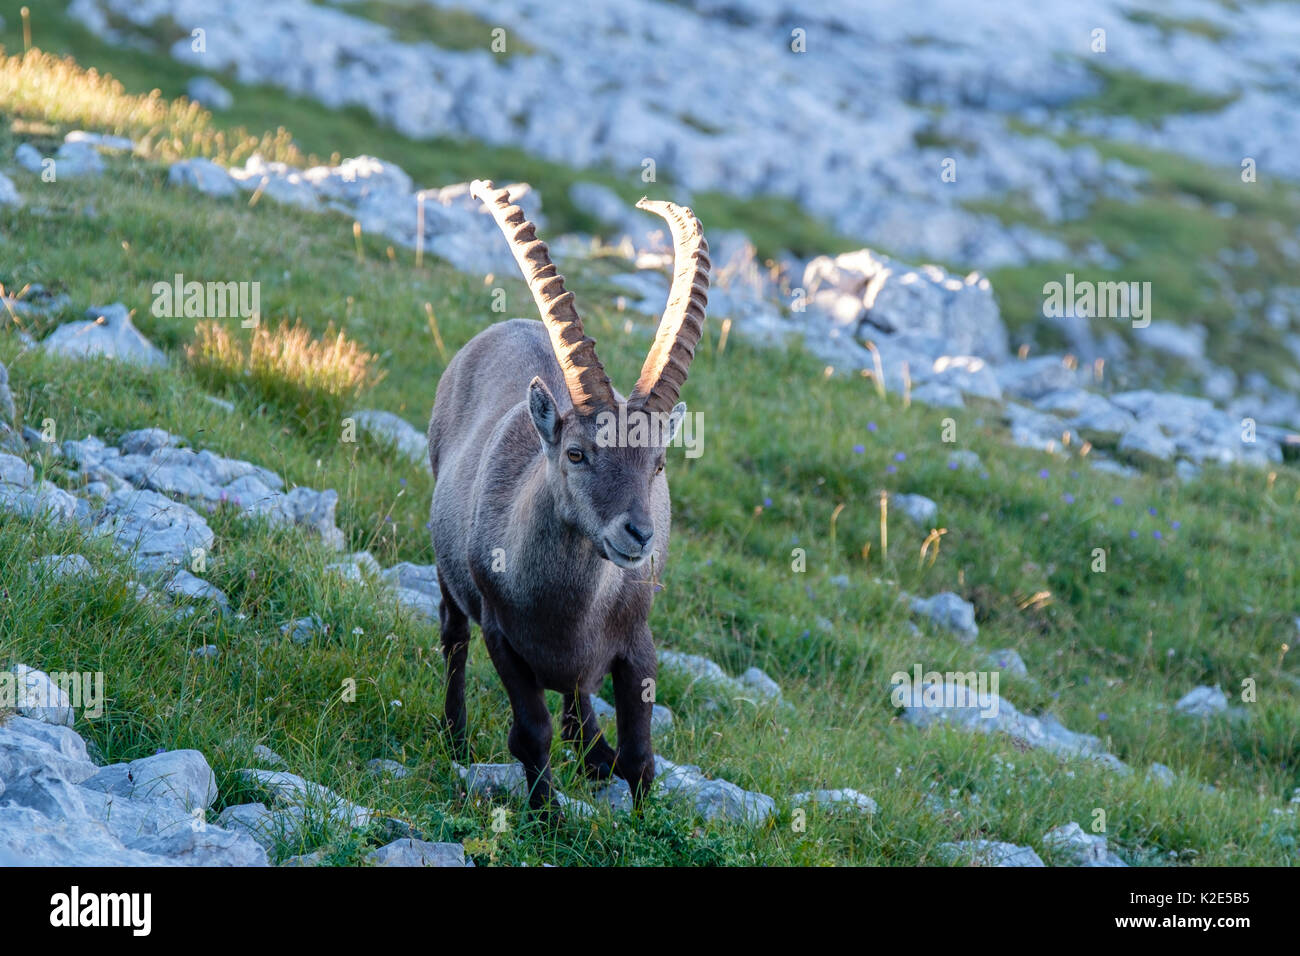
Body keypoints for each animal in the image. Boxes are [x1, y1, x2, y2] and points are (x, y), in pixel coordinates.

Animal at [427, 180, 709, 812]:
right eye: (577, 454)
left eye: (658, 464)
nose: (638, 534)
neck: (567, 611)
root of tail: (508, 324)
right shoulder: (502, 636)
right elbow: (530, 732)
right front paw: (547, 815)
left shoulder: (637, 641)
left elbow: (640, 752)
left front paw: (642, 812)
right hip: (447, 573)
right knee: (453, 638)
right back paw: (455, 736)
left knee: (579, 697)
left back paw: (594, 753)